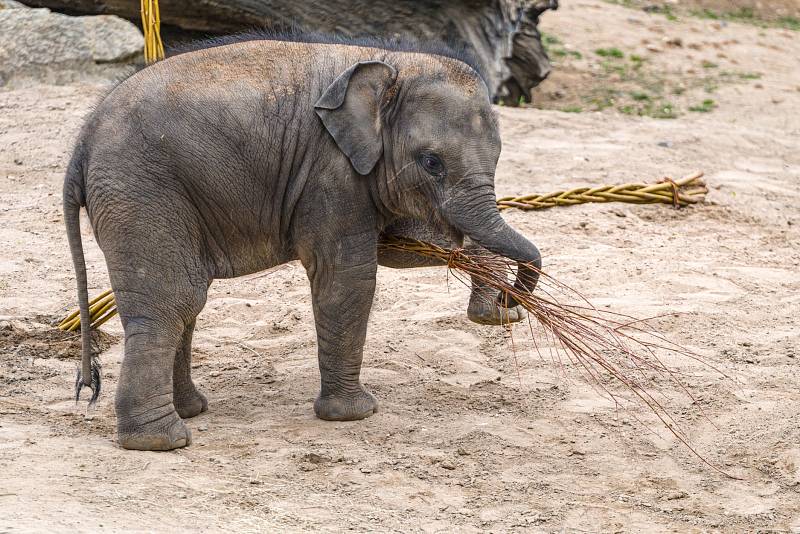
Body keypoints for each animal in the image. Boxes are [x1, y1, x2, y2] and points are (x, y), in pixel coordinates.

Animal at [61, 33, 536, 452]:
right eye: (431, 162)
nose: (509, 306)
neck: (392, 60)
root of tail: (80, 146)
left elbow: (402, 247)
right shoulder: (330, 173)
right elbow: (349, 279)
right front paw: (355, 415)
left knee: (185, 303)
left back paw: (191, 410)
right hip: (142, 193)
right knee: (171, 303)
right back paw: (162, 441)